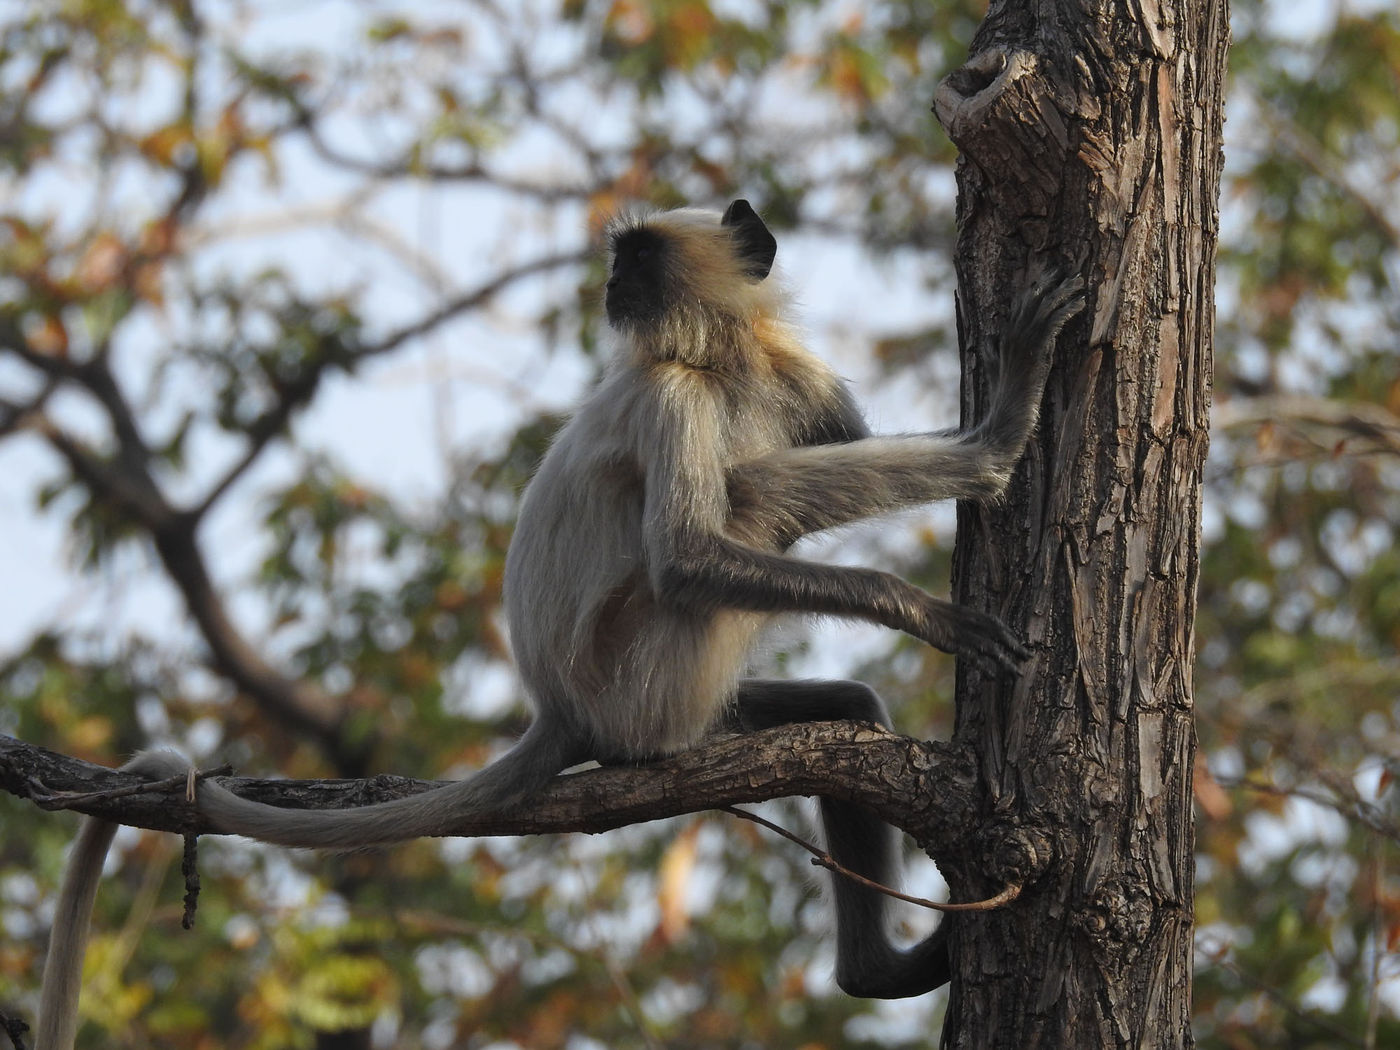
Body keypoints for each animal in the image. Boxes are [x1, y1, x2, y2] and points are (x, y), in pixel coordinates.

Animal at [32, 198, 1080, 1047]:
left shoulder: (803, 381)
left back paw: (871, 967)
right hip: (644, 684)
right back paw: (993, 448)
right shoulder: (672, 394)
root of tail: (561, 710)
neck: (725, 362)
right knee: (745, 502)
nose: (609, 282)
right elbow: (687, 558)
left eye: (639, 258)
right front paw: (928, 595)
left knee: (845, 713)